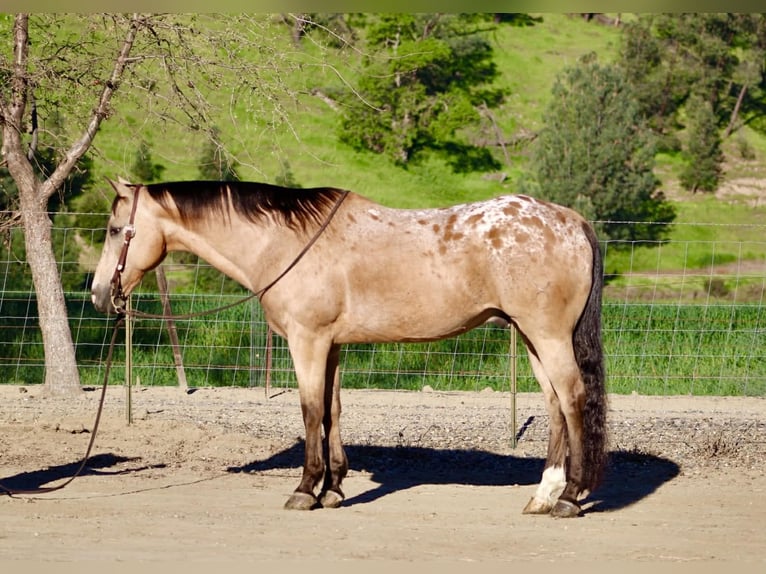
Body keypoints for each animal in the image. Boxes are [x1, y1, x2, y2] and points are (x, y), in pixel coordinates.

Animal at [91, 177, 608, 518]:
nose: (99, 295)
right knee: (556, 406)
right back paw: (544, 495)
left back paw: (569, 497)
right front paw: (334, 488)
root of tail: (572, 220)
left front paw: (305, 490)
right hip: (532, 339)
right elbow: (333, 411)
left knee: (573, 399)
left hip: (547, 336)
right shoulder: (332, 345)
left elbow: (309, 411)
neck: (287, 243)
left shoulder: (308, 341)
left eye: (116, 230)